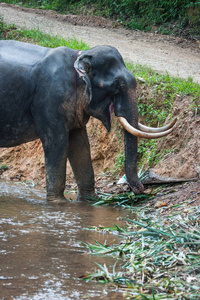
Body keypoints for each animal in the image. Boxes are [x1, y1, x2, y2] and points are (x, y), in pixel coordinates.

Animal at [0, 39, 176, 203]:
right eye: (117, 85)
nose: (141, 190)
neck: (80, 56)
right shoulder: (49, 100)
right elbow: (57, 143)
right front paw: (58, 204)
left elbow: (80, 145)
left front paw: (90, 201)